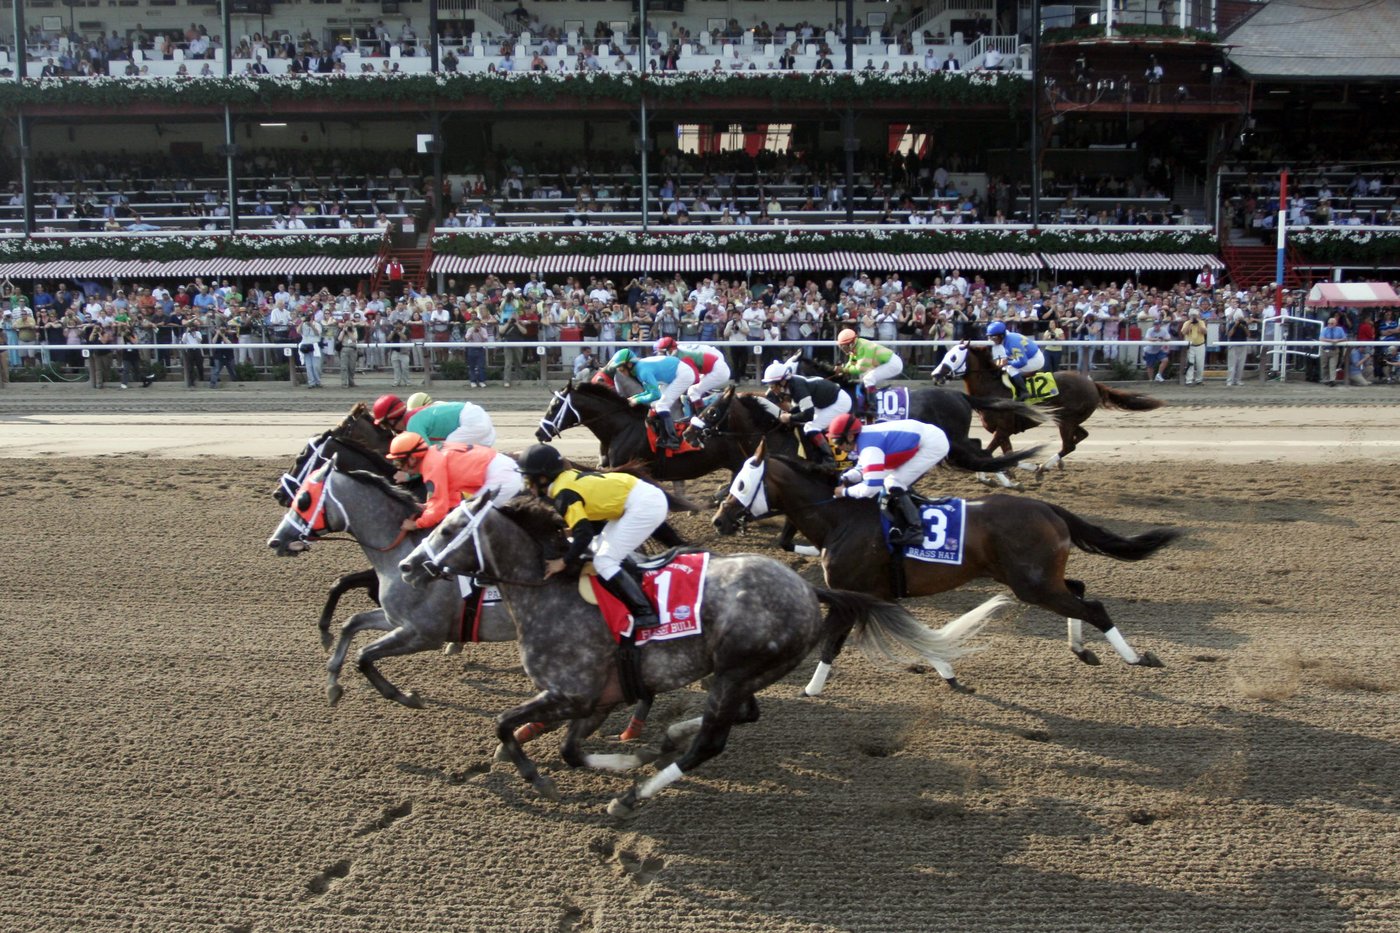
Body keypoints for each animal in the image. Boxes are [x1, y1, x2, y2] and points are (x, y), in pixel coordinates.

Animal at [397, 490, 1008, 812]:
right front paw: (619, 757)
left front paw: (554, 776)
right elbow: (567, 748)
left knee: (714, 740)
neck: (551, 591)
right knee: (743, 713)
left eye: (449, 528)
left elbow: (504, 723)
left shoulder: (570, 692)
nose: (406, 566)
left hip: (737, 670)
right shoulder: (595, 698)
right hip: (744, 672)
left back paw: (638, 792)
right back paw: (668, 736)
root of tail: (807, 588)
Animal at [711, 439, 1181, 694]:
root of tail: (1048, 508)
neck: (839, 519)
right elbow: (919, 638)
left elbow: (829, 643)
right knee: (1080, 588)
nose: (719, 520)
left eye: (741, 483)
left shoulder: (850, 595)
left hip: (1032, 584)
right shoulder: (878, 595)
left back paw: (1136, 658)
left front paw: (809, 690)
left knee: (1094, 606)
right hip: (1039, 578)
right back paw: (1082, 649)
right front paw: (949, 672)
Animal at [929, 337, 1170, 476]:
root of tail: (1091, 383)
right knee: (1081, 436)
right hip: (1069, 419)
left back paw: (1045, 466)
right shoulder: (1004, 432)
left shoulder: (1003, 429)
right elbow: (1008, 455)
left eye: (953, 357)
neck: (993, 387)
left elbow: (988, 453)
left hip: (1066, 420)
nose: (935, 375)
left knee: (1069, 445)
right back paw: (1055, 464)